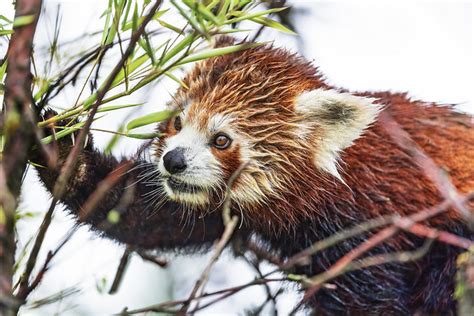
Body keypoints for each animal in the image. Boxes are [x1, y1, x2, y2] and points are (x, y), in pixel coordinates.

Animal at [35, 36, 472, 314]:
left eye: (221, 140)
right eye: (177, 122)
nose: (173, 161)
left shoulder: (371, 226)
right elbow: (146, 216)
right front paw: (64, 153)